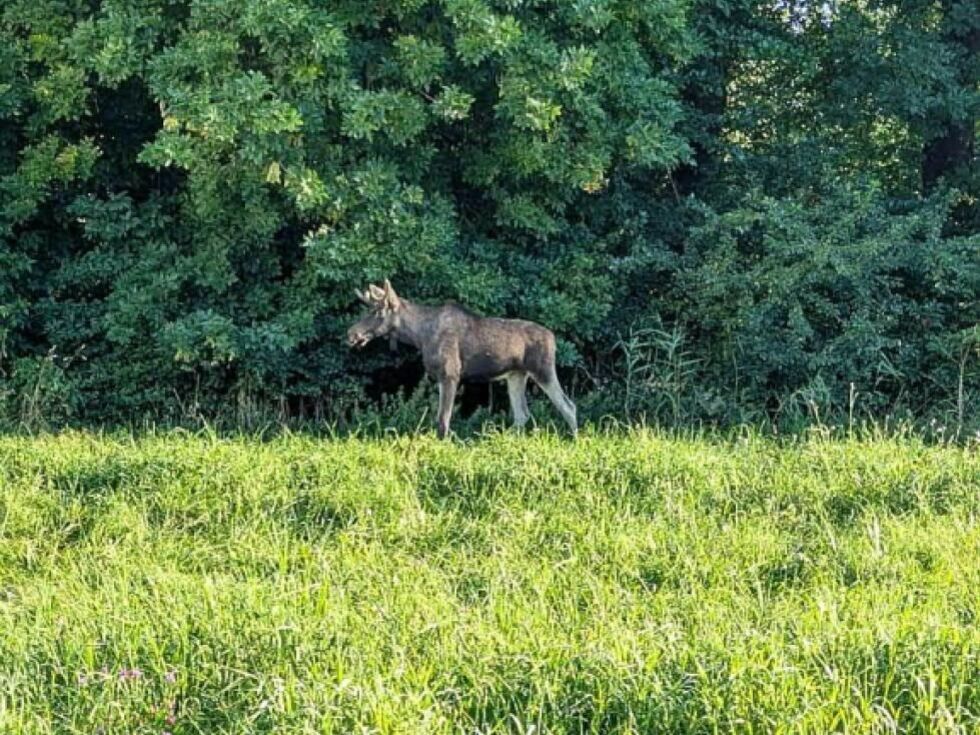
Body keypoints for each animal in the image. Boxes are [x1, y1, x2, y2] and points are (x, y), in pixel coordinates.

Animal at [347, 280, 577, 439]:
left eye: (378, 312)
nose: (351, 334)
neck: (419, 336)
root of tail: (553, 338)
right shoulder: (441, 377)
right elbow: (439, 419)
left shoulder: (450, 374)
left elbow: (443, 420)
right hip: (516, 375)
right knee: (522, 414)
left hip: (543, 369)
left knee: (568, 406)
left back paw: (574, 442)